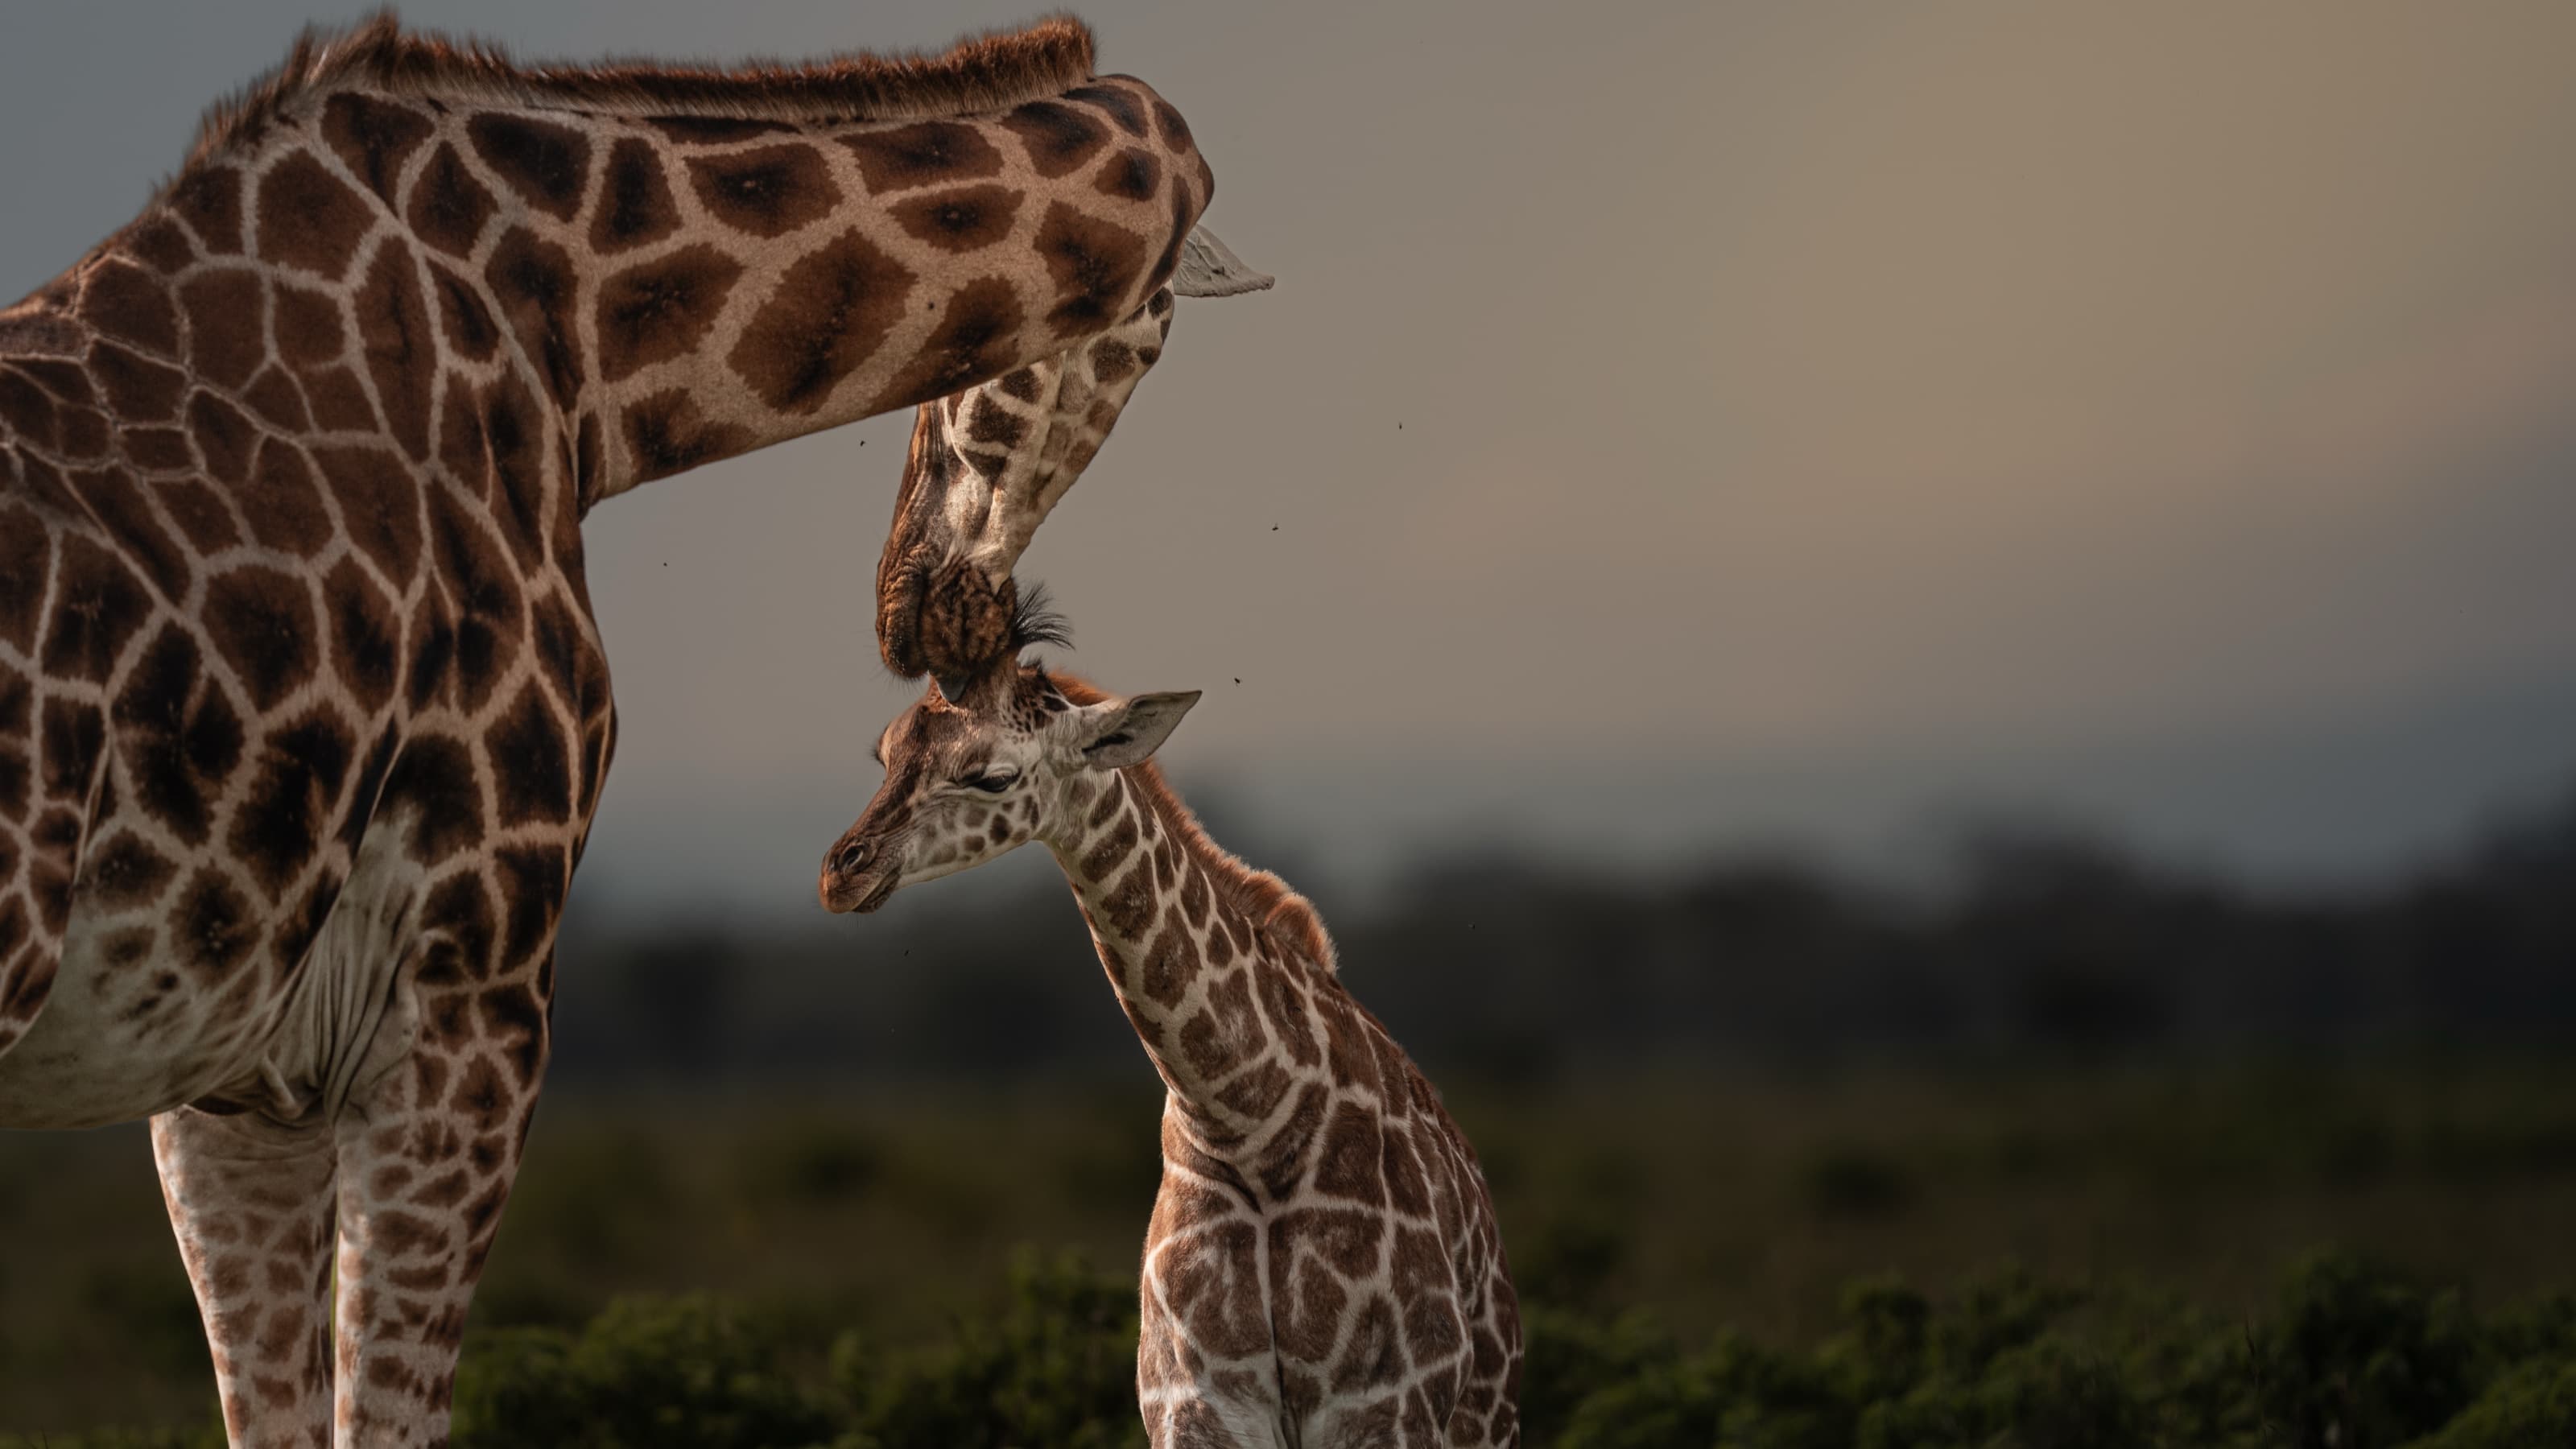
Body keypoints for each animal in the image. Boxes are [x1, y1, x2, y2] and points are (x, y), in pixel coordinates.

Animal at [817, 639, 1525, 1449]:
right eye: (887, 753)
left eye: (991, 776)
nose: (843, 872)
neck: (1251, 1127)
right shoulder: (1195, 1403)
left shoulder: (1387, 1407)